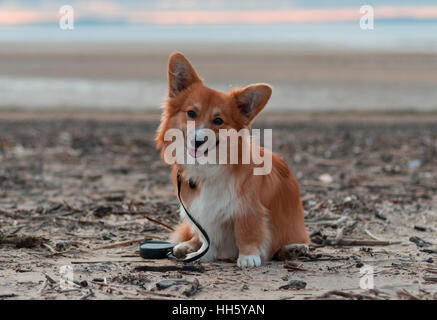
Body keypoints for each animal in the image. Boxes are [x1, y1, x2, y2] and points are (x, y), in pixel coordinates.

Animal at [155, 52, 308, 268]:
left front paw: (248, 256)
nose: (198, 141)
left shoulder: (248, 208)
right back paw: (186, 246)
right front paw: (201, 253)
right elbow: (206, 236)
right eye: (191, 113)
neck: (209, 166)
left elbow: (246, 230)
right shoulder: (199, 210)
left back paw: (293, 248)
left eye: (218, 120)